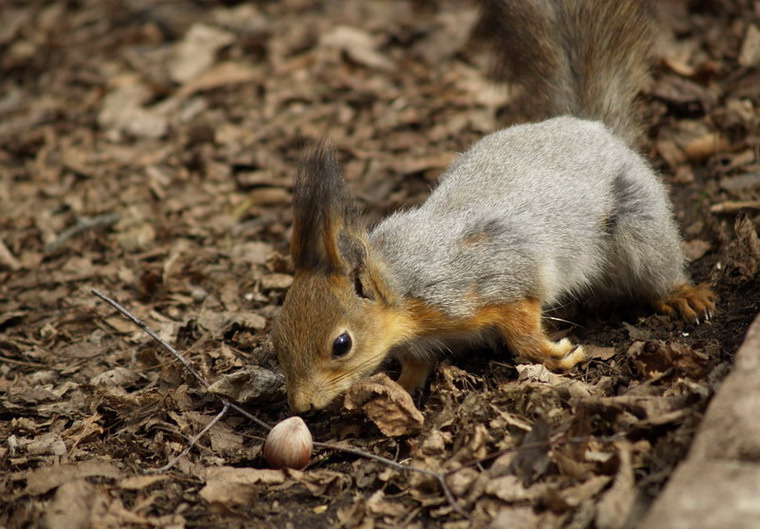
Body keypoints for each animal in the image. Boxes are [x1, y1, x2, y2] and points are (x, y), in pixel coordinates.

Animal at [271, 0, 717, 413]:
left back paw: (680, 293)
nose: (301, 405)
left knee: (656, 265)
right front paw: (400, 388)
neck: (402, 290)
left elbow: (521, 324)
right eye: (277, 337)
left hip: (639, 221)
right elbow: (416, 365)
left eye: (341, 344)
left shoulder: (494, 279)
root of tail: (589, 126)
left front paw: (553, 355)